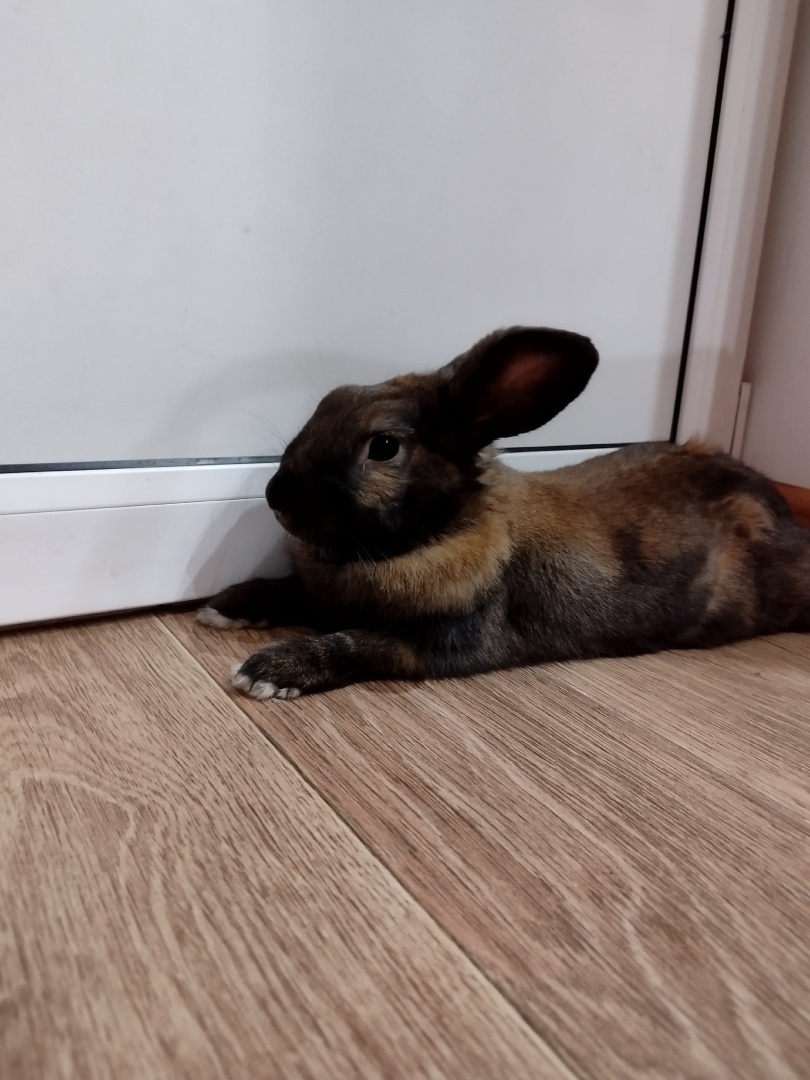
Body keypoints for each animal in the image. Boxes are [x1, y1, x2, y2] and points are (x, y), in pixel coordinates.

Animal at [198, 326, 810, 700]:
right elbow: (287, 588)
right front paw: (225, 606)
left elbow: (353, 643)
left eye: (385, 447)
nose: (277, 494)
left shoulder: (437, 643)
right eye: (327, 403)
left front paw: (267, 670)